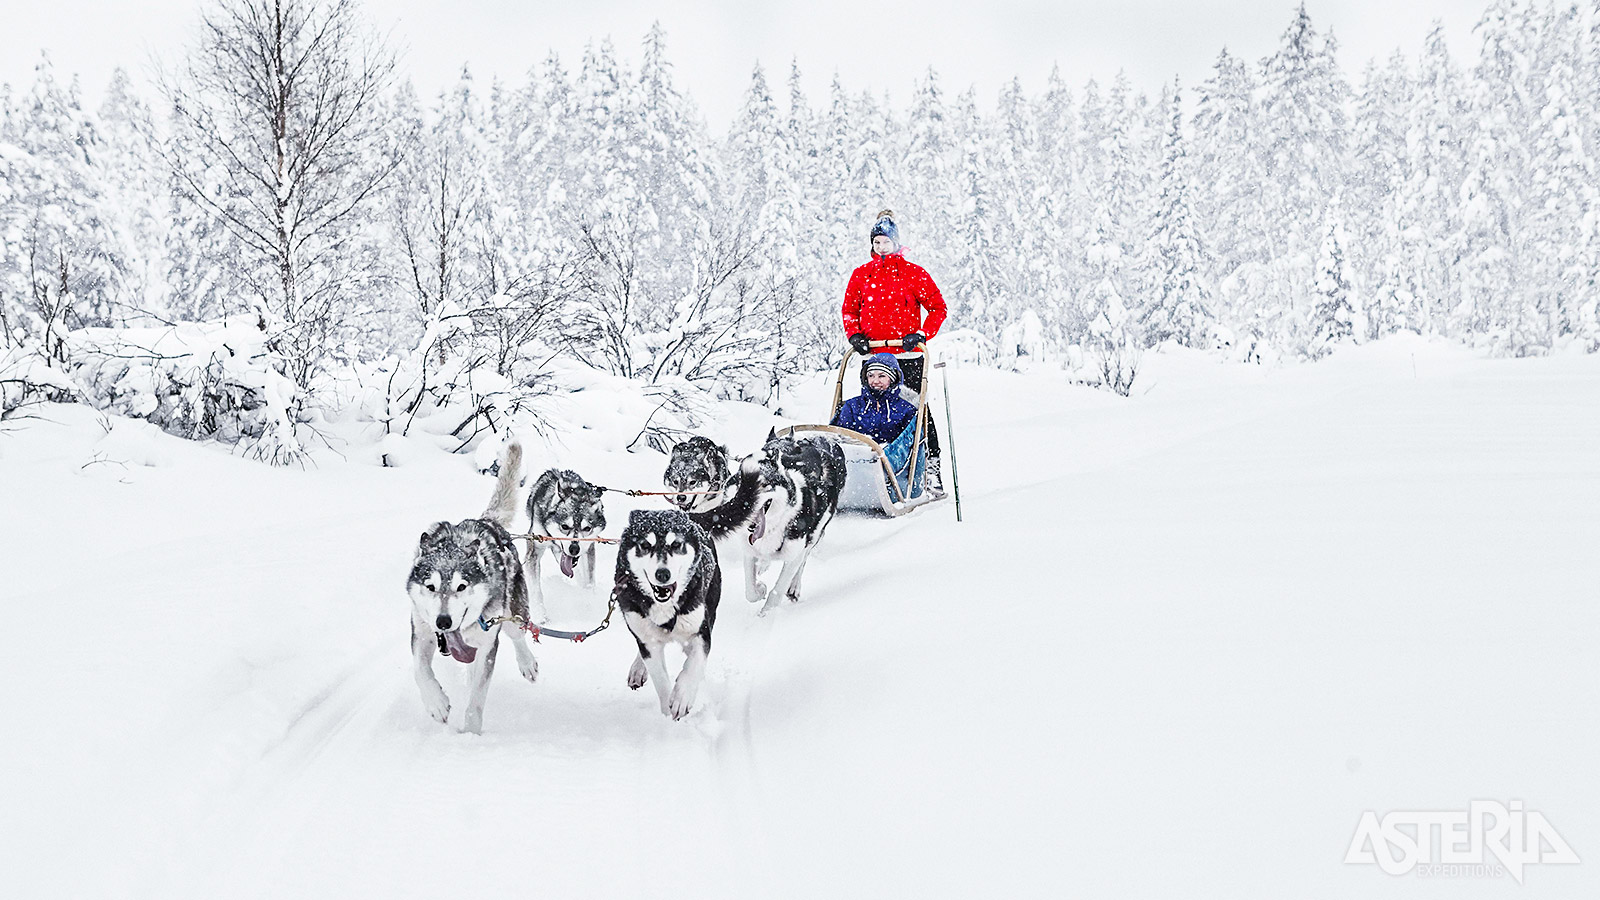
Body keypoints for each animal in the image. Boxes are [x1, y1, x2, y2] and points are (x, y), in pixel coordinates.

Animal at [406, 438, 537, 730]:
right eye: (430, 587)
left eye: (461, 586)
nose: (443, 622)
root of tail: (487, 521)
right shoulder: (422, 633)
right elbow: (419, 670)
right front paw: (436, 703)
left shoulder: (488, 645)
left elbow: (476, 699)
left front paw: (470, 733)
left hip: (512, 614)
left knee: (518, 635)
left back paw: (528, 663)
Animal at [524, 464, 604, 611]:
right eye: (565, 526)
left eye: (587, 528)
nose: (574, 549)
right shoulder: (534, 551)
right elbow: (536, 591)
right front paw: (540, 614)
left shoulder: (588, 548)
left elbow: (589, 581)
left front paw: (589, 600)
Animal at [614, 454, 758, 714]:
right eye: (645, 545)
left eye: (676, 545)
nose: (663, 574)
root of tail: (693, 517)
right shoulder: (646, 638)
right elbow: (659, 675)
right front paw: (666, 702)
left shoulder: (701, 631)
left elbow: (694, 663)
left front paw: (682, 697)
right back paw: (638, 669)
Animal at [745, 432, 857, 611]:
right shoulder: (749, 549)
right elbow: (750, 591)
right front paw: (760, 588)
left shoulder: (798, 548)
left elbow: (777, 590)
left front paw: (766, 614)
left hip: (815, 535)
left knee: (803, 560)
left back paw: (794, 588)